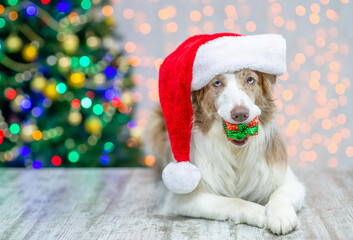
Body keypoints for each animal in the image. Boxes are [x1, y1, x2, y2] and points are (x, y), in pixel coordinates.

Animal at [144, 33, 304, 234]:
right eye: (217, 83)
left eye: (250, 80)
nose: (240, 114)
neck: (235, 150)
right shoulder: (184, 199)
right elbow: (234, 202)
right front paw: (261, 213)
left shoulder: (288, 179)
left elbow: (281, 193)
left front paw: (280, 215)